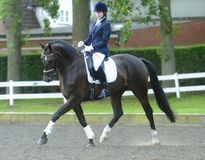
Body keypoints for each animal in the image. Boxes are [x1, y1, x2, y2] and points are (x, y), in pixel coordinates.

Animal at [37, 39, 175, 146]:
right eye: (42, 59)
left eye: (50, 60)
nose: (46, 79)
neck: (71, 66)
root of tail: (138, 60)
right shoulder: (73, 100)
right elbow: (81, 119)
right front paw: (91, 139)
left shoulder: (75, 98)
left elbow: (56, 114)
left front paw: (43, 137)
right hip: (116, 93)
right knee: (118, 113)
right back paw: (104, 136)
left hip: (139, 90)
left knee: (148, 111)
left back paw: (155, 139)